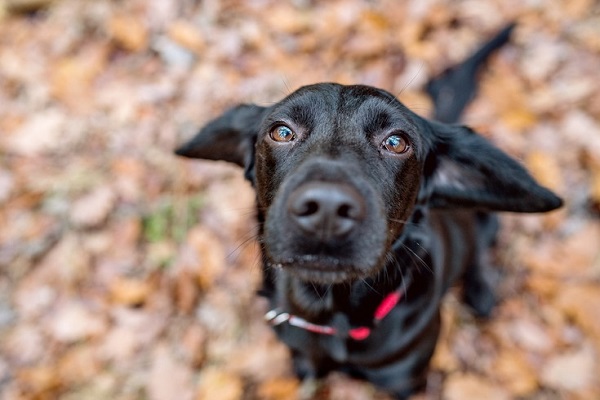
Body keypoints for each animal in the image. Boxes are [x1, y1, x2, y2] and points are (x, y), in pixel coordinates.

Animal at [175, 26, 564, 398]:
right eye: (282, 132)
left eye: (396, 141)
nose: (327, 209)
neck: (333, 316)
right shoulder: (305, 364)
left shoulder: (405, 382)